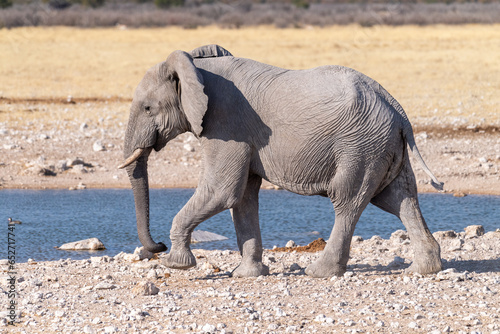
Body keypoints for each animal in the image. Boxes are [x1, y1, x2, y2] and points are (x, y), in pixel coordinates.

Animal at [119, 45, 444, 280]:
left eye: (147, 108)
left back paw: (319, 272)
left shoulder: (225, 125)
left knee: (347, 201)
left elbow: (223, 191)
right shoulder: (242, 136)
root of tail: (398, 110)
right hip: (381, 146)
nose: (158, 246)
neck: (196, 66)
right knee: (399, 198)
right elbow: (243, 198)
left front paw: (176, 264)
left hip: (360, 146)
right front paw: (246, 275)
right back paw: (424, 269)